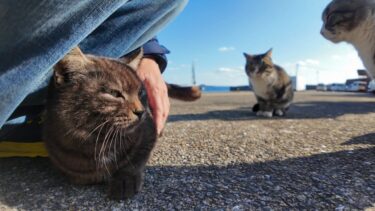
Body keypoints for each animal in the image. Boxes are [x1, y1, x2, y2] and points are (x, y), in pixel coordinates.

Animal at [43, 47, 201, 199]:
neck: (99, 141)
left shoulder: (148, 132)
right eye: (114, 94)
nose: (141, 111)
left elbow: (135, 160)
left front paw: (125, 180)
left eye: (140, 93)